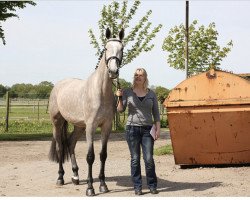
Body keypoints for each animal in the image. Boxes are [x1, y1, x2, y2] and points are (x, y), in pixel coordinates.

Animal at [48, 27, 124, 196]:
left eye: (122, 48)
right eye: (106, 48)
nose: (113, 71)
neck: (100, 92)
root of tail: (59, 85)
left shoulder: (106, 126)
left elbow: (103, 155)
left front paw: (103, 185)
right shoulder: (91, 127)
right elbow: (90, 156)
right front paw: (90, 188)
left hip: (79, 126)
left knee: (70, 144)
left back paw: (75, 176)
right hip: (58, 122)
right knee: (60, 147)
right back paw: (60, 178)